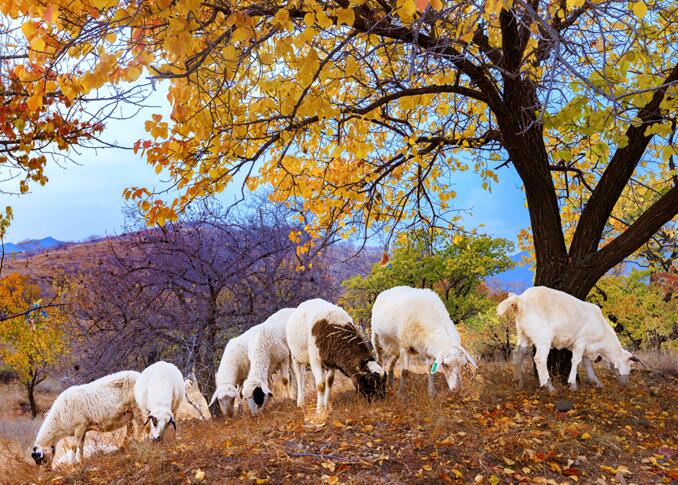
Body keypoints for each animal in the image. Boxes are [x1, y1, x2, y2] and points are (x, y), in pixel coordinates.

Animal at [494, 286, 644, 392]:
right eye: (631, 365)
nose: (625, 383)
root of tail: (520, 299)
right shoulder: (580, 342)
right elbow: (576, 361)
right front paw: (572, 384)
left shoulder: (587, 349)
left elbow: (587, 365)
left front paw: (597, 383)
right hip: (542, 335)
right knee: (539, 358)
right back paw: (548, 386)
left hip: (523, 333)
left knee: (518, 354)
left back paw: (518, 381)